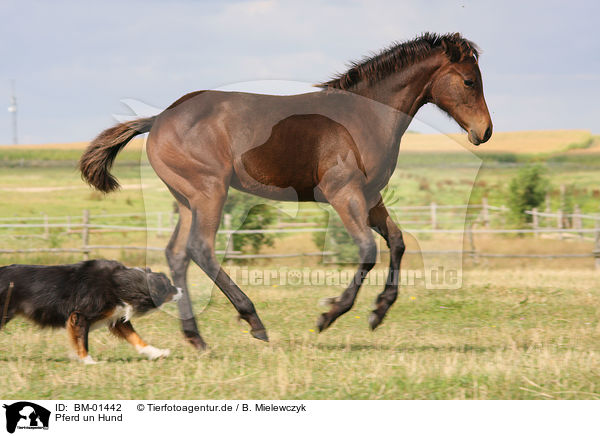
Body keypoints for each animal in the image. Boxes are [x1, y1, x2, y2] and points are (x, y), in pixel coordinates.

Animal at [0, 260, 183, 362]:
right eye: (169, 286)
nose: (181, 290)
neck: (121, 284)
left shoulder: (116, 319)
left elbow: (136, 338)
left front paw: (157, 353)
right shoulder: (80, 316)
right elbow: (82, 340)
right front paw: (88, 361)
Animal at [79, 32, 492, 350]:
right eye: (469, 81)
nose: (484, 132)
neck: (364, 116)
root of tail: (159, 118)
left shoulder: (371, 197)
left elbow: (397, 241)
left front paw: (379, 311)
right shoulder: (344, 194)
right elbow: (367, 250)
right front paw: (329, 314)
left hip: (186, 200)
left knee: (177, 254)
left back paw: (195, 337)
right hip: (209, 192)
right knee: (201, 249)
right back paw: (253, 321)